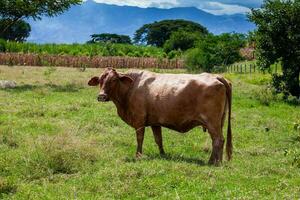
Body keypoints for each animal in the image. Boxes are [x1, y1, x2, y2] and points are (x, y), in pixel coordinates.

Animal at [88, 68, 233, 165]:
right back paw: (214, 161)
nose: (101, 96)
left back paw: (215, 163)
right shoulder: (155, 122)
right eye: (100, 80)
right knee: (216, 140)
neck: (131, 87)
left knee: (219, 140)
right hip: (218, 122)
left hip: (212, 122)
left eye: (113, 80)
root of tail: (217, 76)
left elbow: (140, 139)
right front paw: (163, 154)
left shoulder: (139, 120)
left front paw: (138, 155)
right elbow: (159, 139)